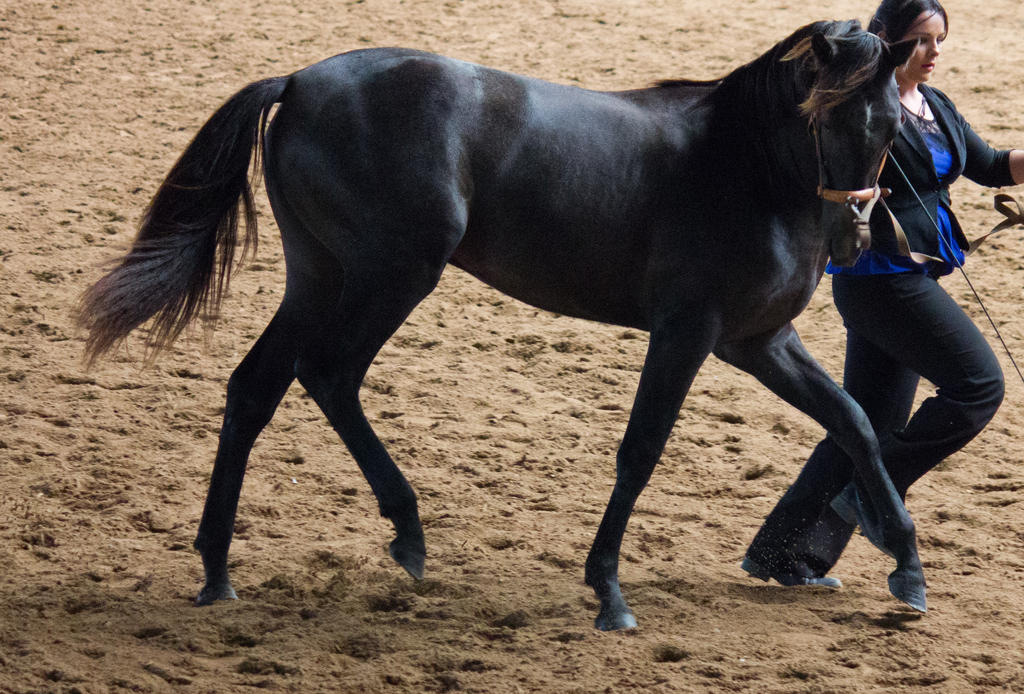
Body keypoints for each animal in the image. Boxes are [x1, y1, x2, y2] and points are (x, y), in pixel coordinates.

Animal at [79, 20, 925, 630]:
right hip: (394, 273)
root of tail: (300, 81)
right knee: (329, 374)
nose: (854, 235)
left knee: (256, 388)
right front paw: (608, 592)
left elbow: (854, 422)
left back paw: (218, 572)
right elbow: (641, 451)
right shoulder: (687, 331)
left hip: (319, 275)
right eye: (823, 115)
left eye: (889, 128)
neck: (744, 168)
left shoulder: (758, 342)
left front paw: (907, 569)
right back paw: (406, 530)